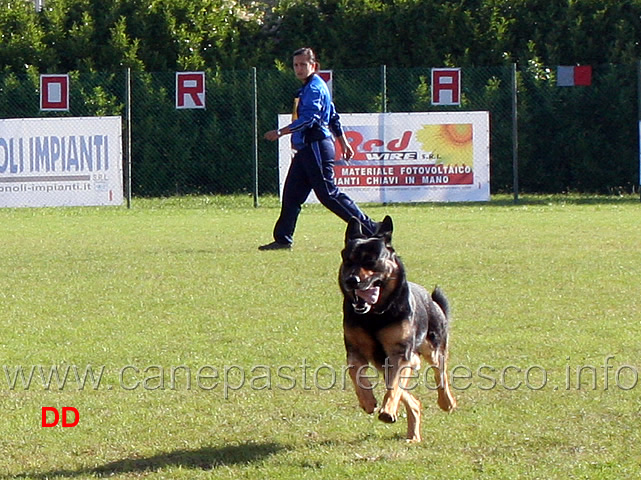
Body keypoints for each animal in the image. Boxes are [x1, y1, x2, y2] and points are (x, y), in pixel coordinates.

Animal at [340, 217, 456, 442]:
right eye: (348, 260)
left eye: (371, 261)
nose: (351, 280)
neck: (374, 315)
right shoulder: (355, 351)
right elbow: (355, 373)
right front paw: (368, 401)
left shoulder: (400, 353)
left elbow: (394, 387)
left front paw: (387, 410)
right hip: (384, 363)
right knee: (413, 399)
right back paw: (413, 433)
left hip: (433, 347)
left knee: (440, 375)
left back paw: (447, 402)